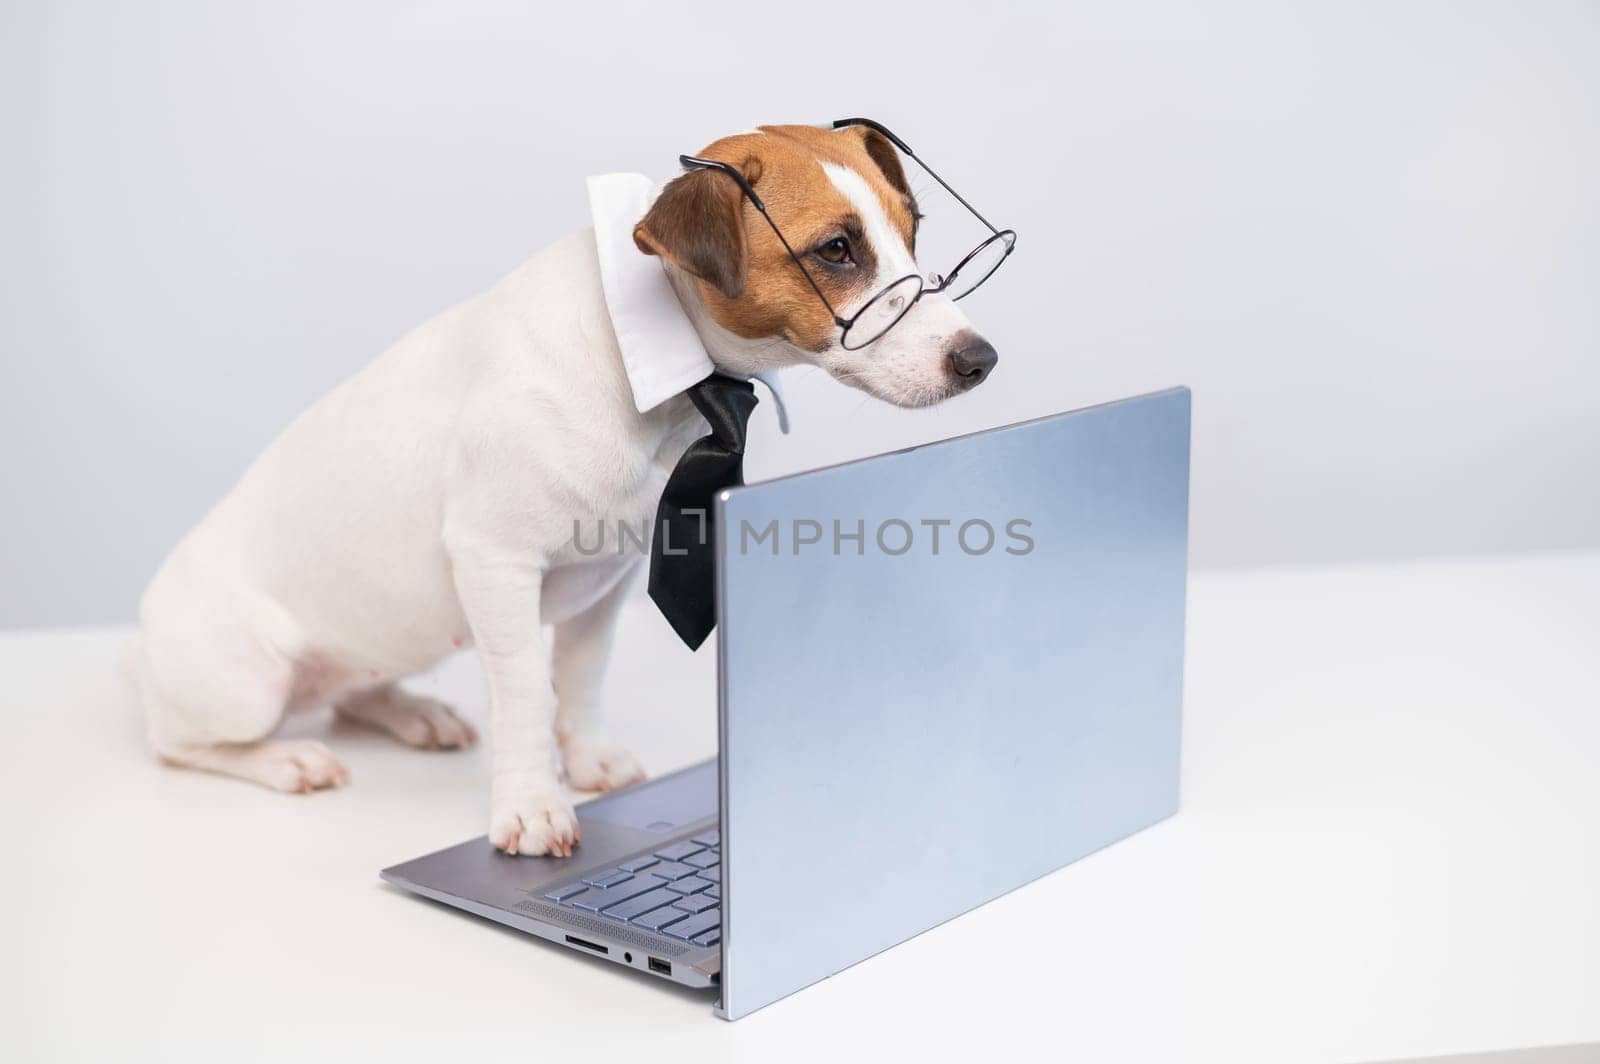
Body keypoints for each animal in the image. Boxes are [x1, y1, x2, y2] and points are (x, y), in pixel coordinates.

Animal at [140, 122, 1011, 857]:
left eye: (912, 233)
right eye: (835, 249)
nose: (980, 360)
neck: (651, 358)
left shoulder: (607, 576)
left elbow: (582, 674)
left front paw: (587, 760)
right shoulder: (496, 563)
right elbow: (528, 690)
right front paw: (531, 804)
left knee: (357, 692)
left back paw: (412, 712)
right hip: (244, 684)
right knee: (185, 744)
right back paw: (286, 759)